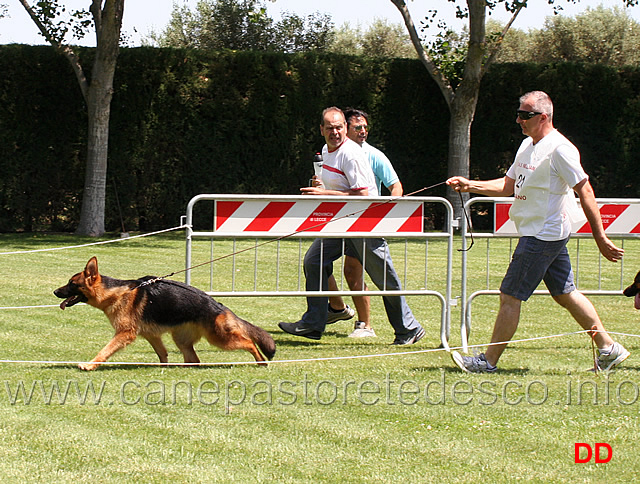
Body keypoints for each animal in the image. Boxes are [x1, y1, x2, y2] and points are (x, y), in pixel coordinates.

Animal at [53, 258, 276, 370]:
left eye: (72, 284)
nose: (55, 292)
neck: (116, 293)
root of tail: (219, 306)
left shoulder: (125, 334)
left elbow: (105, 351)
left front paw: (90, 365)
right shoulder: (151, 335)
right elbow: (162, 353)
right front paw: (163, 367)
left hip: (219, 338)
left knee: (249, 342)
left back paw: (261, 361)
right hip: (182, 340)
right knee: (194, 360)